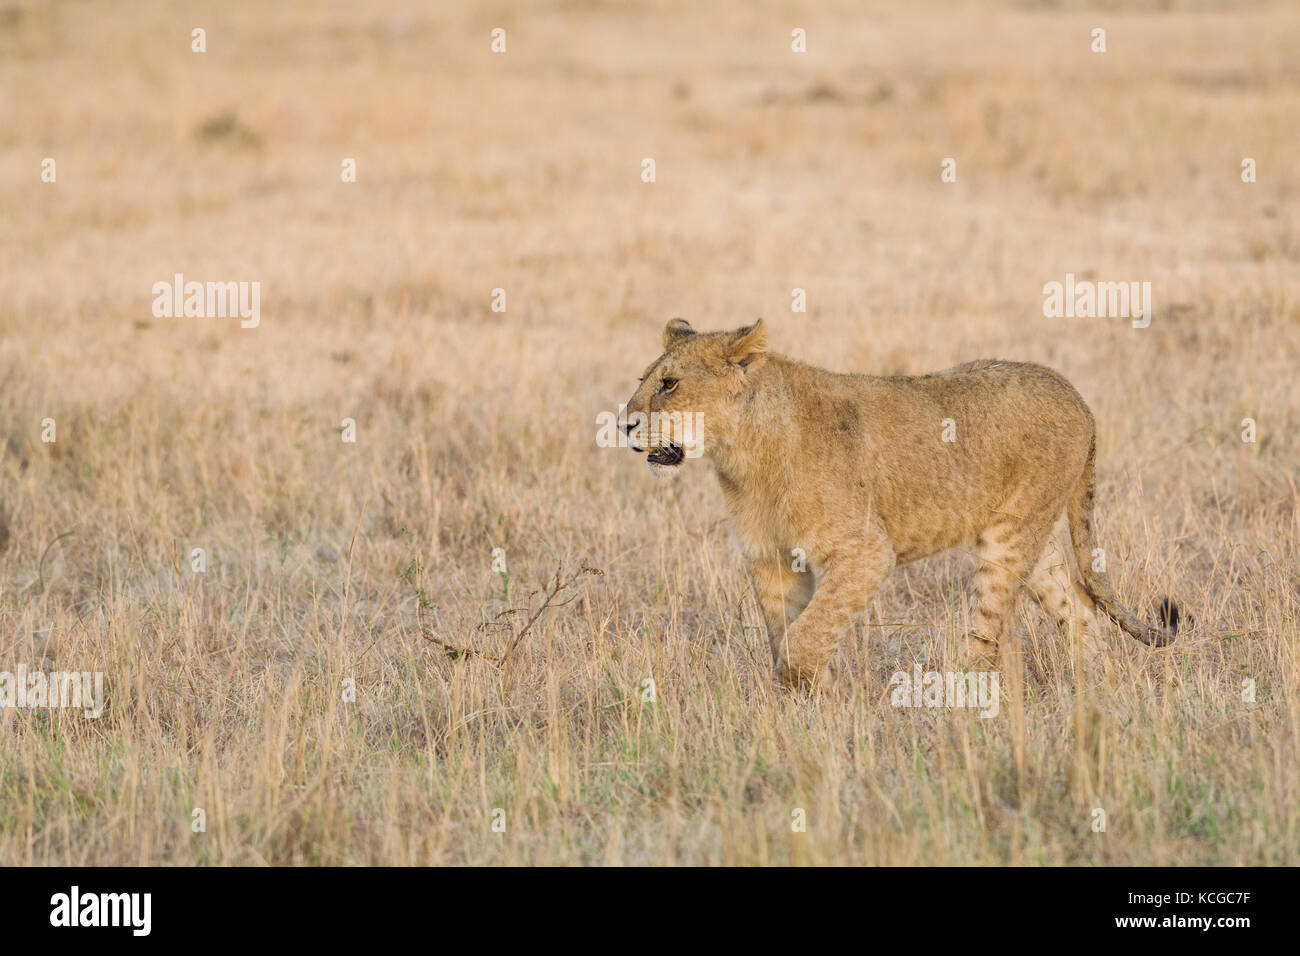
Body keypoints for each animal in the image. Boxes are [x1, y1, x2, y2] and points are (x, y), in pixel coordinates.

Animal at [622, 318, 1181, 689]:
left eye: (669, 384)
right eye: (643, 381)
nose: (623, 423)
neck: (742, 457)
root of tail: (1076, 395)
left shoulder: (866, 552)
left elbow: (805, 638)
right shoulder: (771, 560)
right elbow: (787, 637)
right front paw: (807, 708)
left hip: (1008, 541)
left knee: (987, 637)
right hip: (1031, 537)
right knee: (1080, 612)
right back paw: (1101, 693)